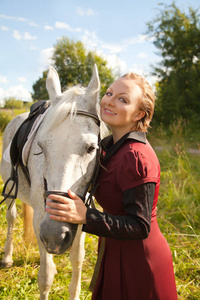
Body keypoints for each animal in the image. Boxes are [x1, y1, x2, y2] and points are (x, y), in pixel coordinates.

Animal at [0, 65, 106, 300]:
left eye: (91, 148)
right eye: (40, 147)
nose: (54, 235)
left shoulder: (81, 213)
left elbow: (77, 259)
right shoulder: (42, 218)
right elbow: (46, 276)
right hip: (11, 189)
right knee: (11, 217)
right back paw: (7, 257)